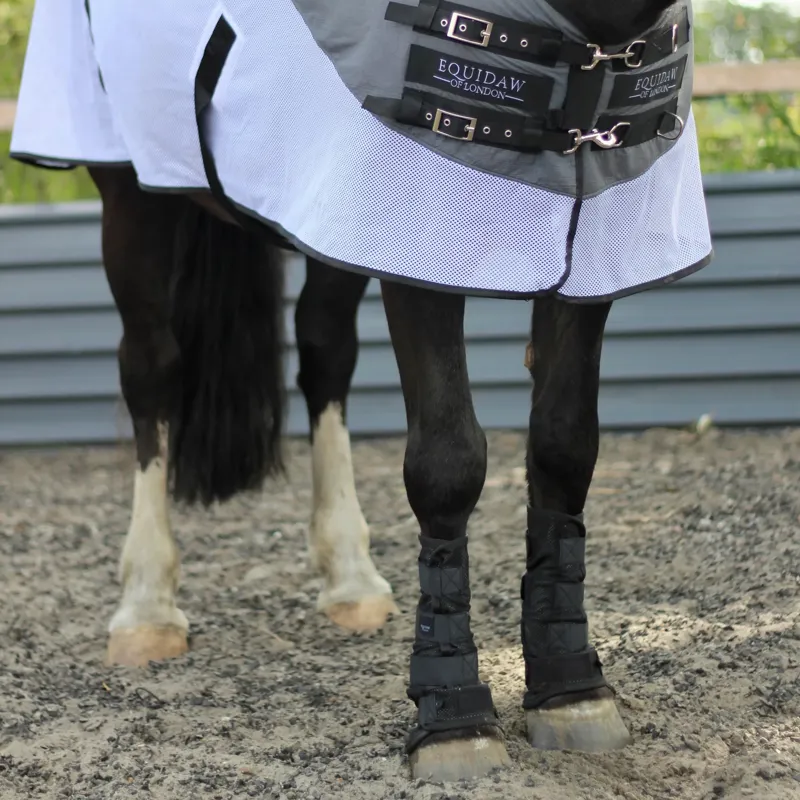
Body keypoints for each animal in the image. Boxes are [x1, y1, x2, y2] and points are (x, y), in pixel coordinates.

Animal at [10, 0, 712, 783]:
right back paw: (146, 606)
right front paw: (452, 714)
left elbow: (564, 447)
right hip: (133, 192)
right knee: (150, 369)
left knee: (325, 353)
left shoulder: (593, 251)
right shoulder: (421, 243)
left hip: (335, 222)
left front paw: (569, 688)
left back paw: (349, 575)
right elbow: (448, 462)